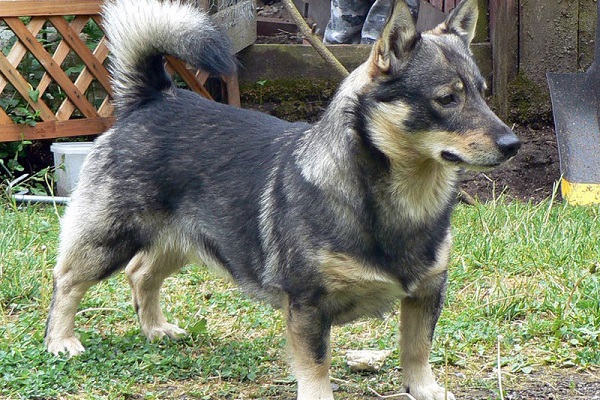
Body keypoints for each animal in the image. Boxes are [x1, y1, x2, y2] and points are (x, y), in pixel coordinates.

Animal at [43, 1, 520, 398]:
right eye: (447, 98)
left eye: (482, 93)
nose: (513, 144)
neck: (404, 201)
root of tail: (152, 98)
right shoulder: (308, 305)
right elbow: (316, 366)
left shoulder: (426, 293)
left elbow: (416, 350)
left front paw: (425, 389)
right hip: (109, 239)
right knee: (67, 282)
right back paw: (61, 340)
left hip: (182, 238)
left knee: (142, 273)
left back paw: (156, 328)